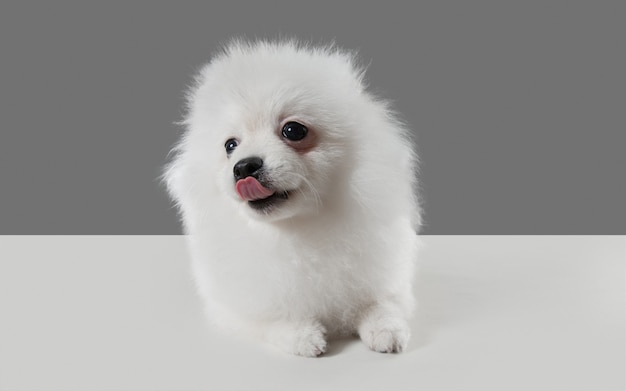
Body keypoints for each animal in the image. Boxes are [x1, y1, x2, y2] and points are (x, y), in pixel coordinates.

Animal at [163, 39, 422, 358]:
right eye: (230, 146)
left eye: (293, 130)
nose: (244, 167)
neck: (298, 230)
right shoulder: (235, 307)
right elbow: (272, 318)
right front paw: (303, 335)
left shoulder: (386, 278)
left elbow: (382, 304)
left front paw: (386, 330)